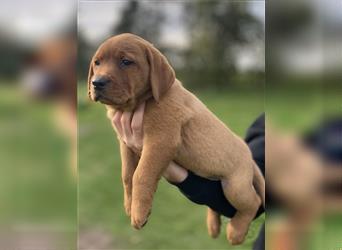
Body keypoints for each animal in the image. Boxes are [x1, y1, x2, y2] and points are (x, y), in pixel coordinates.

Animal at [88, 32, 264, 244]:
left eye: (126, 61)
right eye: (97, 63)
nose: (96, 82)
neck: (138, 104)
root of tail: (249, 156)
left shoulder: (160, 141)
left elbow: (141, 175)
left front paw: (139, 213)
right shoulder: (125, 143)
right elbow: (127, 175)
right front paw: (129, 205)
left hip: (235, 187)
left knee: (253, 202)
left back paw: (236, 231)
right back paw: (213, 226)